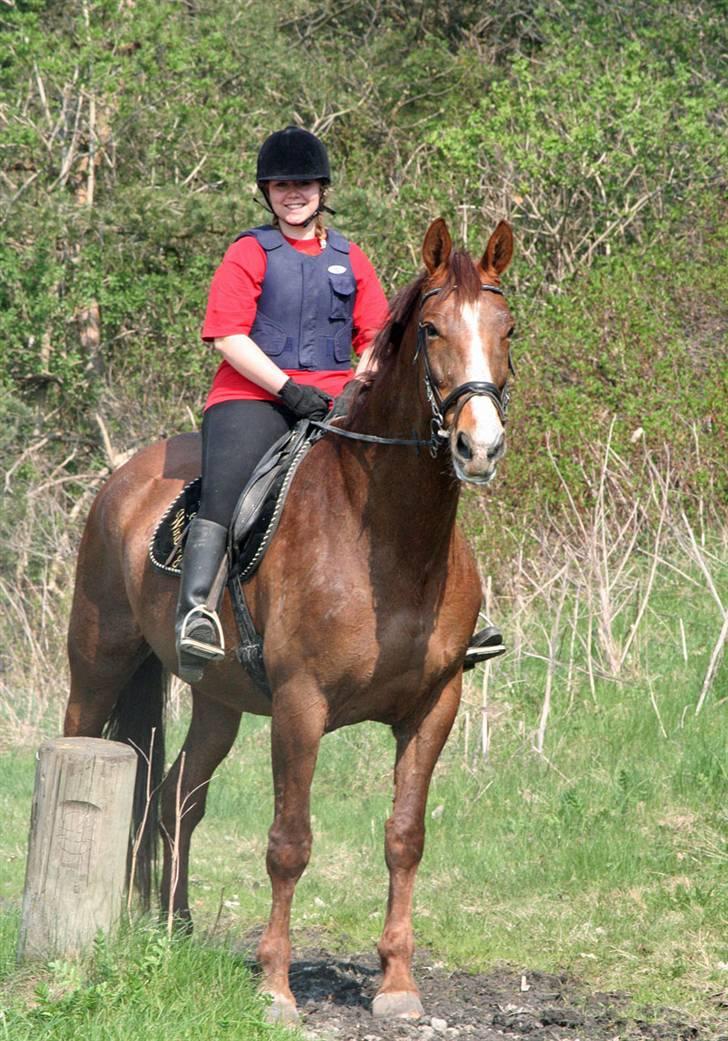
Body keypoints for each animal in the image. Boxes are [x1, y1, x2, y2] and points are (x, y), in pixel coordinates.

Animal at [65, 215, 514, 1020]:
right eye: (431, 329)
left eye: (508, 329)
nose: (480, 446)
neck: (389, 538)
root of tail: (122, 478)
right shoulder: (302, 705)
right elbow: (290, 842)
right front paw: (275, 985)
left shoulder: (435, 705)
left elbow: (405, 837)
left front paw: (397, 984)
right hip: (96, 667)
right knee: (85, 750)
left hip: (217, 702)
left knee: (176, 801)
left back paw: (175, 930)